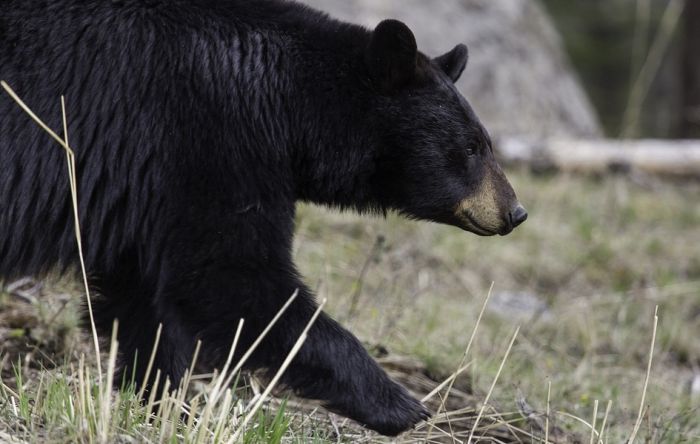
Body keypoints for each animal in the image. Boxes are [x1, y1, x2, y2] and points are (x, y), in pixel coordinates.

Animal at [0, 0, 524, 438]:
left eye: (484, 142)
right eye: (471, 148)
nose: (515, 211)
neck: (287, 101)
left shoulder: (145, 193)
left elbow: (141, 301)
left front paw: (167, 404)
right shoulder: (207, 139)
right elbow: (232, 278)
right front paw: (400, 404)